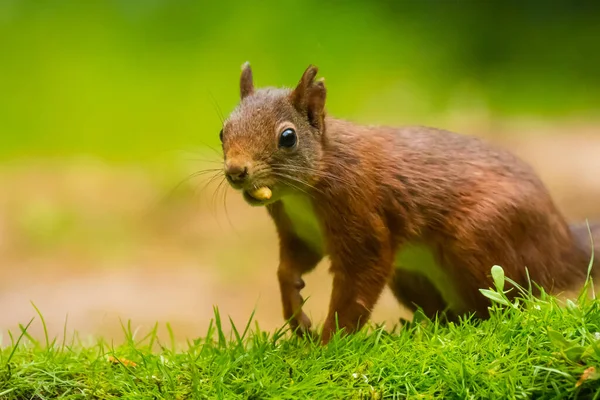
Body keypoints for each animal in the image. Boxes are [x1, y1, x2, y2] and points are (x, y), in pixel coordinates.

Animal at [218, 62, 596, 344]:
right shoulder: (299, 231)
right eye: (222, 131)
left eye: (288, 137)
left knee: (511, 301)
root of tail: (564, 245)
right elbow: (290, 268)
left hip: (483, 241)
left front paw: (327, 343)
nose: (236, 171)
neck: (302, 192)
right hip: (411, 276)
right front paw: (296, 314)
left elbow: (357, 284)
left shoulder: (360, 211)